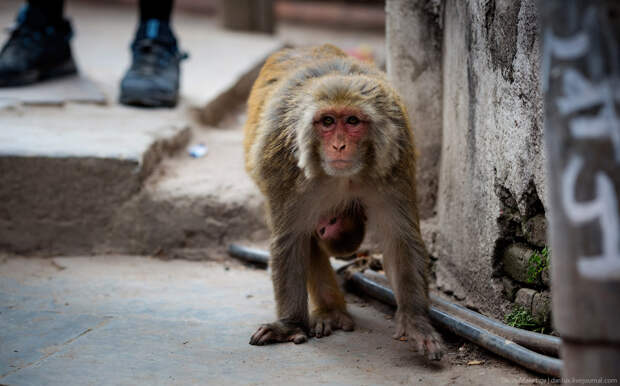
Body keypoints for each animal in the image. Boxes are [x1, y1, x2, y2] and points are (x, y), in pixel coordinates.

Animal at [245, 43, 444, 360]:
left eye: (352, 121)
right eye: (327, 122)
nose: (339, 145)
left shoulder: (395, 159)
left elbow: (399, 239)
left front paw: (416, 323)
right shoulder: (283, 166)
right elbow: (290, 240)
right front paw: (289, 325)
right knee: (306, 238)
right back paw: (329, 311)